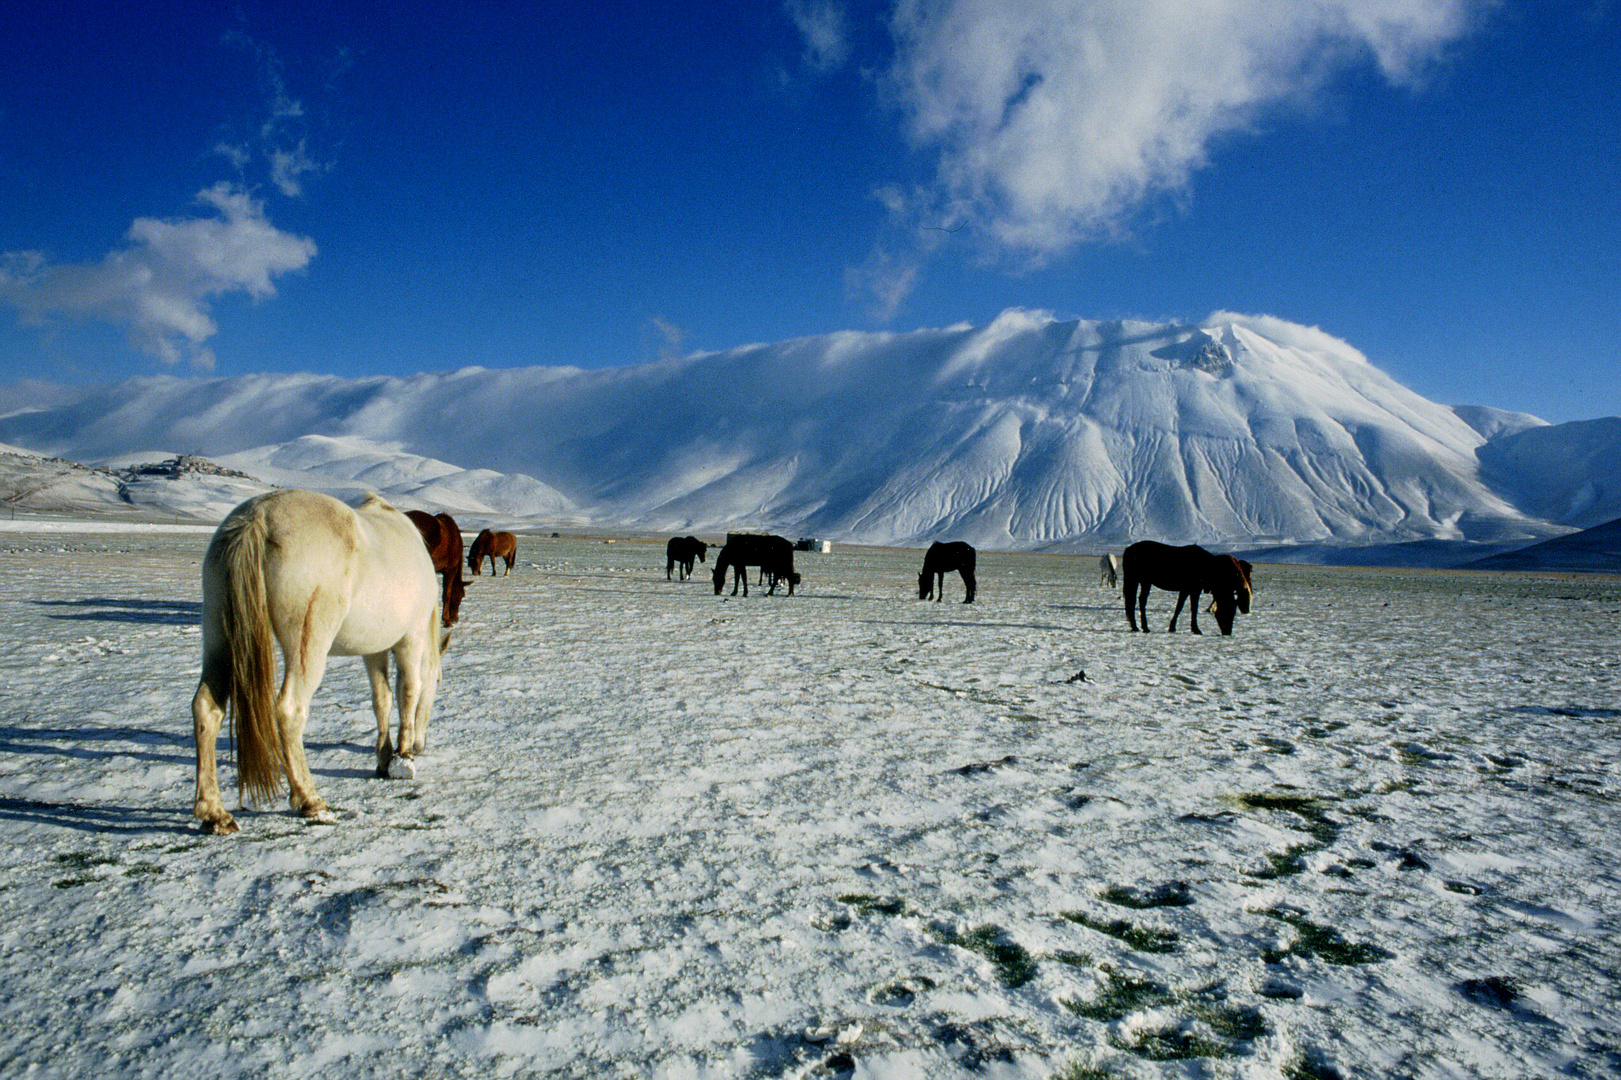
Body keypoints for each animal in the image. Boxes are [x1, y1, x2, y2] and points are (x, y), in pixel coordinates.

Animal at [191, 486, 450, 830]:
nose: (422, 746)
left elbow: (381, 699)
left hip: (219, 638)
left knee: (207, 708)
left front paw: (384, 758)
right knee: (289, 710)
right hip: (308, 644)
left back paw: (214, 813)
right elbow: (409, 690)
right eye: (439, 683)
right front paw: (404, 757)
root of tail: (258, 517)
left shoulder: (374, 649)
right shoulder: (412, 638)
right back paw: (309, 800)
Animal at [1121, 538, 1257, 632]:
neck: (1210, 568)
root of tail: (1128, 549)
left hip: (1142, 581)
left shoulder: (1191, 590)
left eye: (1234, 612)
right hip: (1137, 580)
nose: (1227, 632)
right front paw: (1188, 628)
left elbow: (1186, 607)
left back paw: (1139, 626)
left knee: (1137, 600)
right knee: (1136, 601)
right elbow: (1186, 607)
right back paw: (1140, 627)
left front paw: (1183, 627)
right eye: (1227, 610)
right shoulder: (1190, 589)